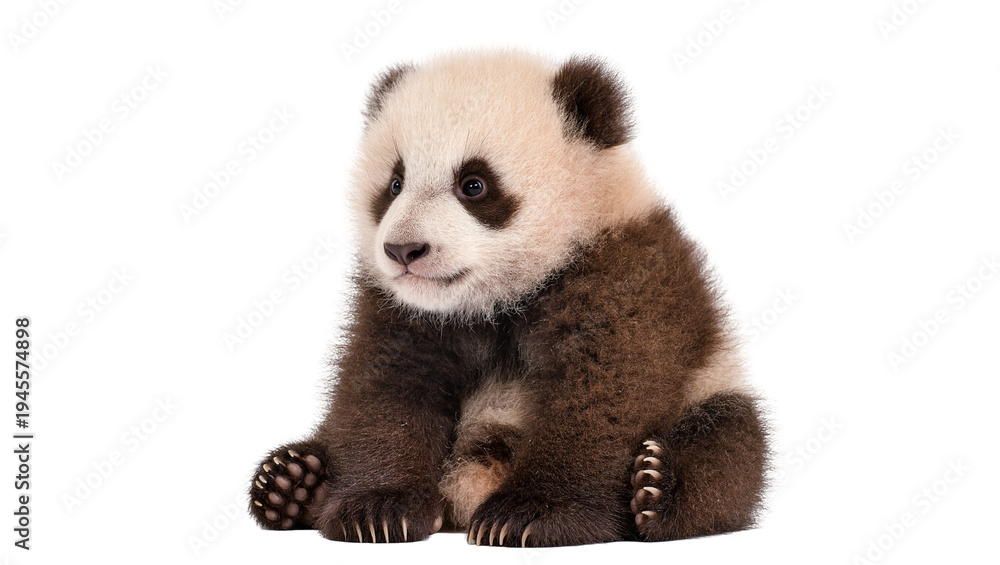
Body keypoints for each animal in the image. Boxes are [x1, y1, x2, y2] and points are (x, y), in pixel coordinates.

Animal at [249, 49, 768, 547]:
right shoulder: (402, 310)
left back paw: (657, 488)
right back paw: (293, 481)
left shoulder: (622, 273)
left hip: (713, 384)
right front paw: (376, 510)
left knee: (728, 448)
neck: (496, 300)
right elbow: (385, 389)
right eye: (394, 184)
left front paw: (528, 517)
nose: (403, 251)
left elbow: (604, 390)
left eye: (474, 185)